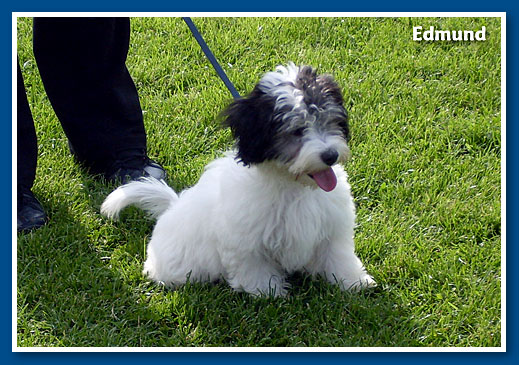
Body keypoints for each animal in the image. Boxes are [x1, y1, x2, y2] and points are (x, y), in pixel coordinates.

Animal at [101, 62, 376, 296]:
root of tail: (173, 206)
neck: (293, 184)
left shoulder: (332, 227)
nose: (330, 155)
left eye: (331, 121)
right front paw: (268, 292)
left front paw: (354, 282)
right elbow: (254, 266)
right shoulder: (245, 240)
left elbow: (338, 256)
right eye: (297, 131)